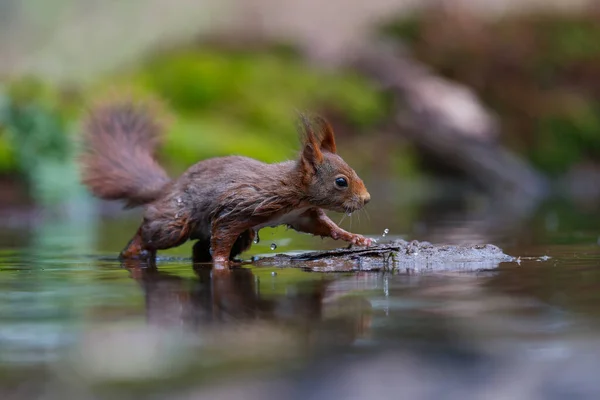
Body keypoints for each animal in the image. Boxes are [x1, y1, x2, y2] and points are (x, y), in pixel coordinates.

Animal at [78, 97, 370, 266]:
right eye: (341, 182)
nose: (366, 199)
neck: (294, 191)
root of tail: (170, 186)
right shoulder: (238, 207)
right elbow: (222, 235)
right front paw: (220, 263)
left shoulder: (302, 214)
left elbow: (325, 227)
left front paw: (357, 238)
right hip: (175, 221)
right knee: (152, 231)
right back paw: (132, 252)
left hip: (242, 235)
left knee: (199, 250)